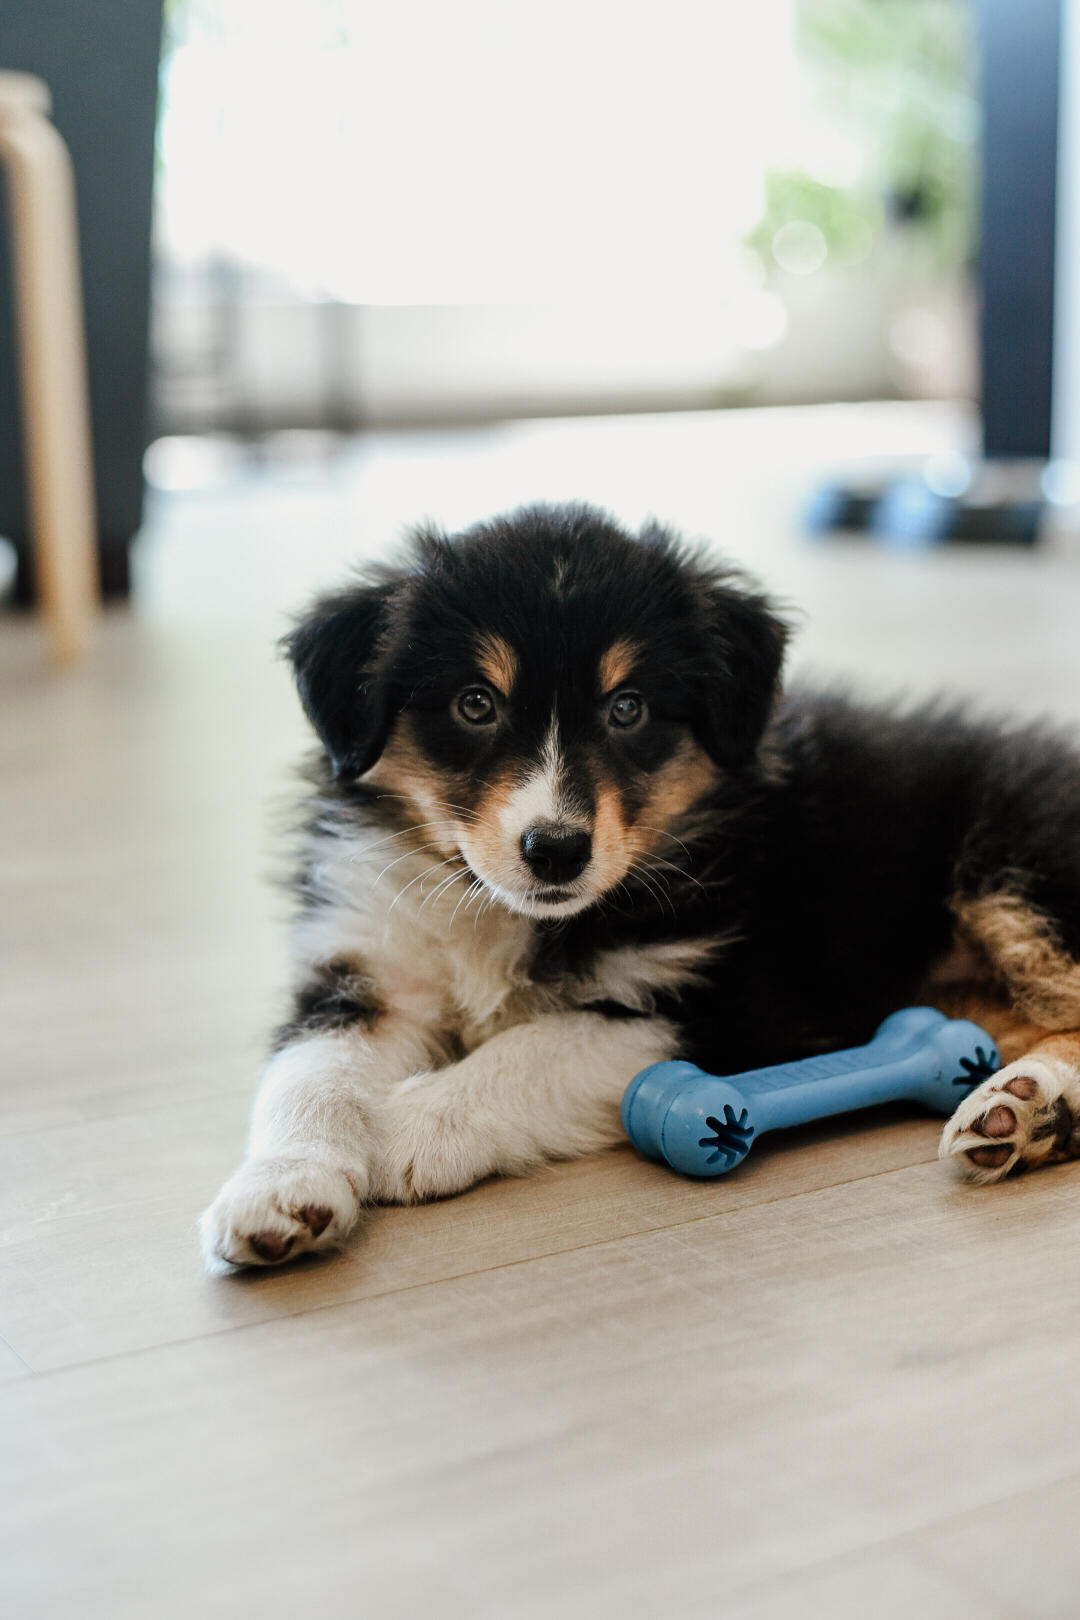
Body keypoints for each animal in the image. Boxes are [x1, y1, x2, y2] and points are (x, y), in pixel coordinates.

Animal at [198, 498, 1080, 1270]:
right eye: (475, 703)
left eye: (627, 708)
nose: (556, 850)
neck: (503, 912)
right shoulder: (372, 969)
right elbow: (308, 1073)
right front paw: (279, 1192)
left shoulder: (731, 1001)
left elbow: (542, 1044)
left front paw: (407, 1127)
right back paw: (1029, 1115)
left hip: (1020, 867)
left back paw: (1023, 1104)